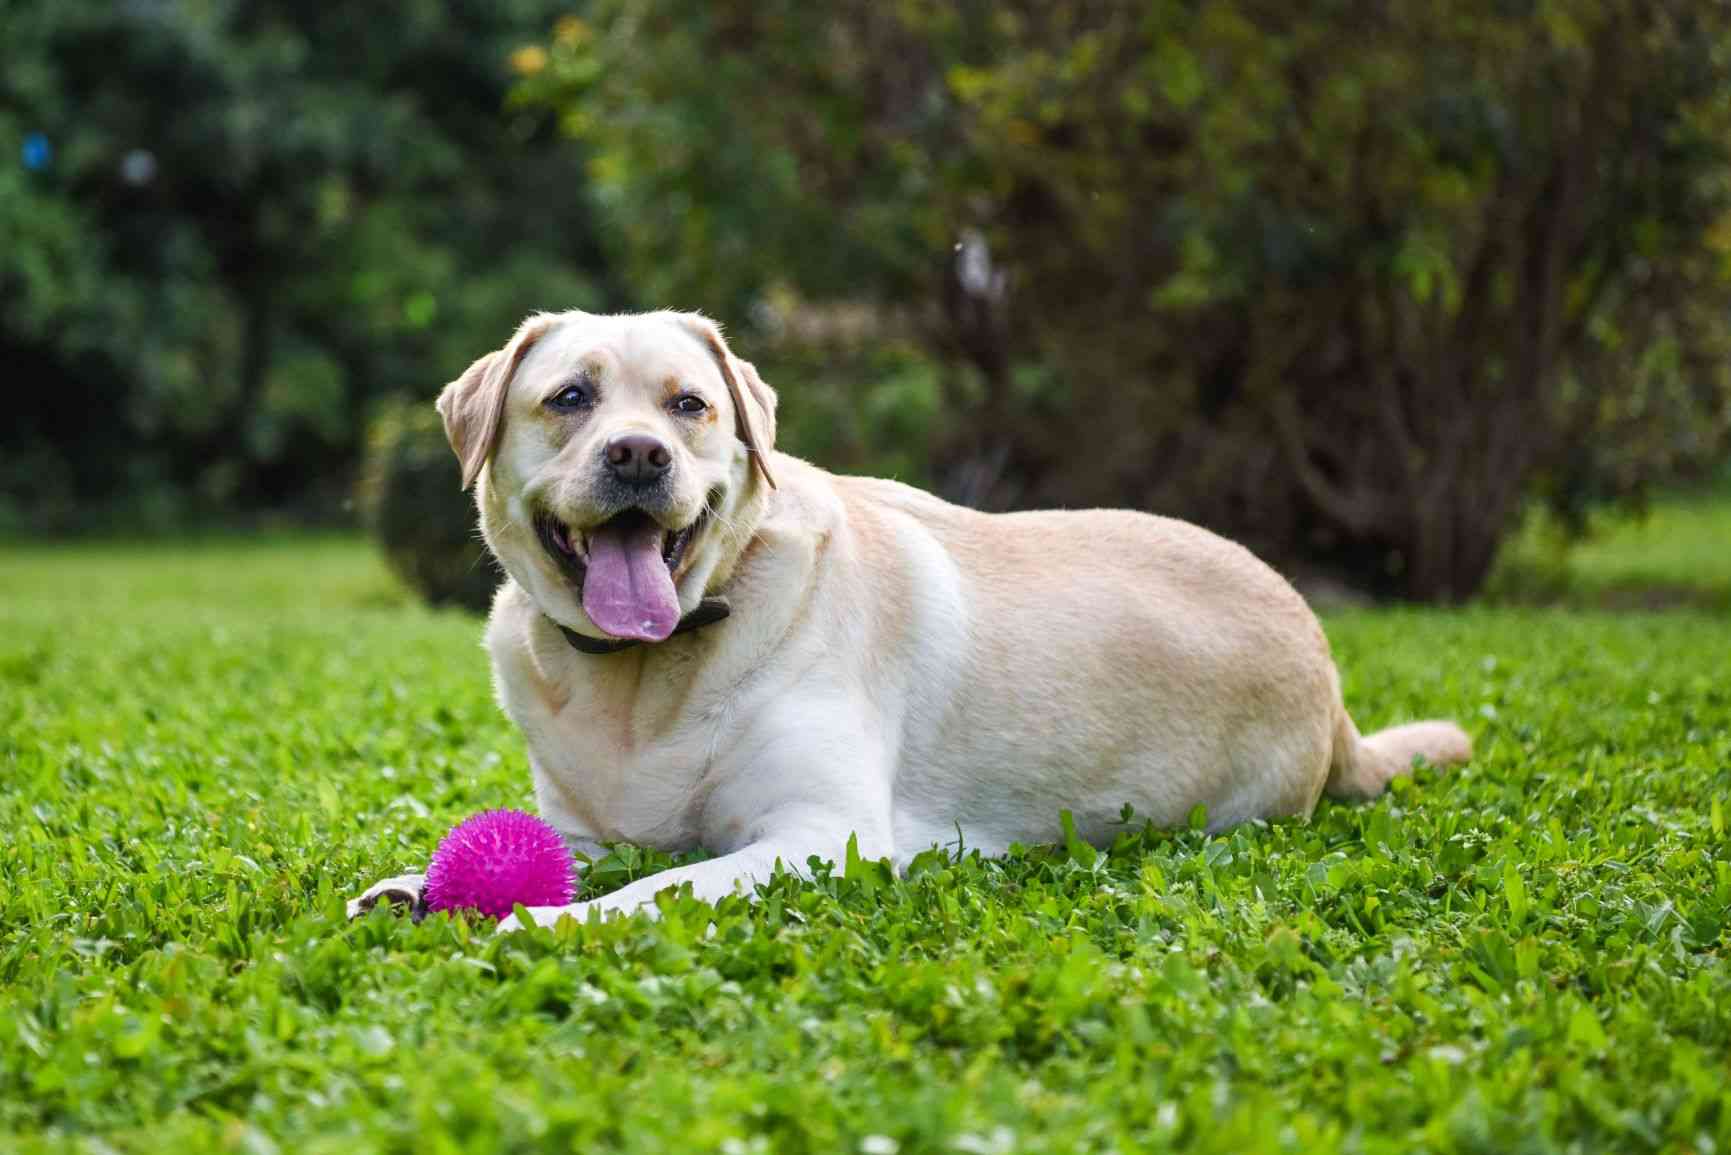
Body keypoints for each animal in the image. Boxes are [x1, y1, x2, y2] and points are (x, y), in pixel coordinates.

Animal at [351, 306, 1474, 928]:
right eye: (571, 397)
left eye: (689, 406)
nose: (638, 455)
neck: (650, 675)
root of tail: (1330, 679)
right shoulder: (597, 826)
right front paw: (413, 886)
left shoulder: (820, 834)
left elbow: (648, 893)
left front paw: (542, 927)